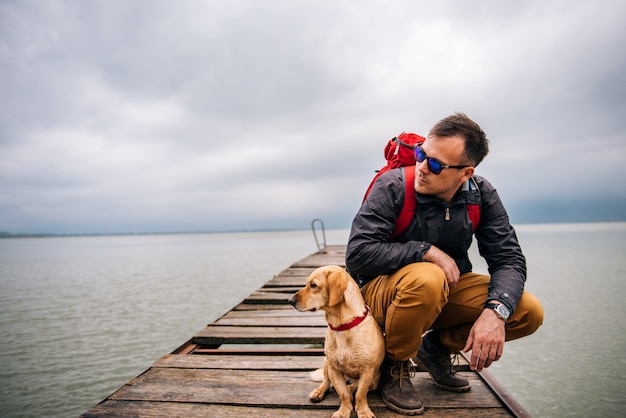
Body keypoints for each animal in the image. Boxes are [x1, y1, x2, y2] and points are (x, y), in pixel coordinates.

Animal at [288, 266, 386, 416]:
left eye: (313, 285)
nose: (290, 300)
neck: (342, 326)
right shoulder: (334, 369)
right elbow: (342, 393)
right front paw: (343, 411)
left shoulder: (367, 371)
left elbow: (360, 393)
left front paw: (363, 411)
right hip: (326, 362)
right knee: (326, 382)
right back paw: (319, 392)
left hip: (374, 379)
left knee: (355, 387)